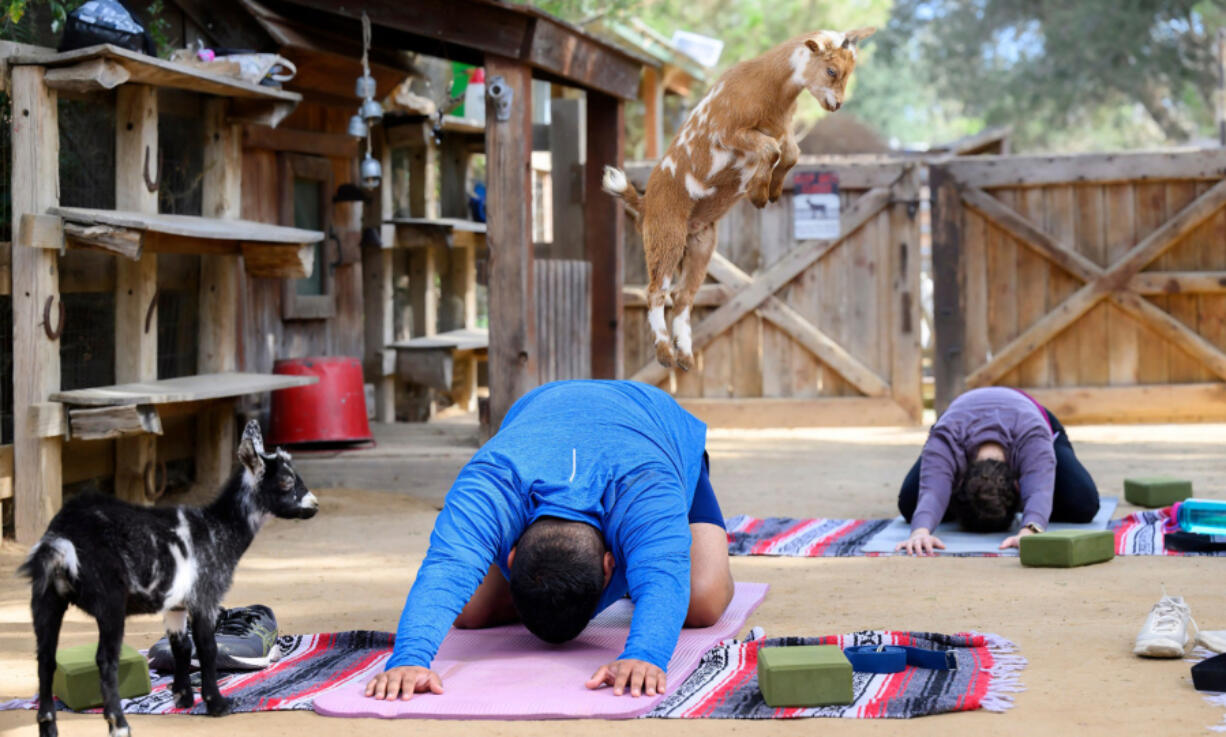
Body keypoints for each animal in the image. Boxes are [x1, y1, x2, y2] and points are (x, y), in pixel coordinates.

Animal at [19, 419, 316, 735]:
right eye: (286, 482)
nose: (314, 504)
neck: (218, 528)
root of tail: (63, 539)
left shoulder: (175, 604)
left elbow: (181, 647)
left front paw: (182, 697)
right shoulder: (205, 596)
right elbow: (207, 648)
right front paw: (217, 704)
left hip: (45, 597)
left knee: (45, 660)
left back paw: (48, 727)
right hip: (110, 601)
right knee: (105, 660)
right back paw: (119, 724)